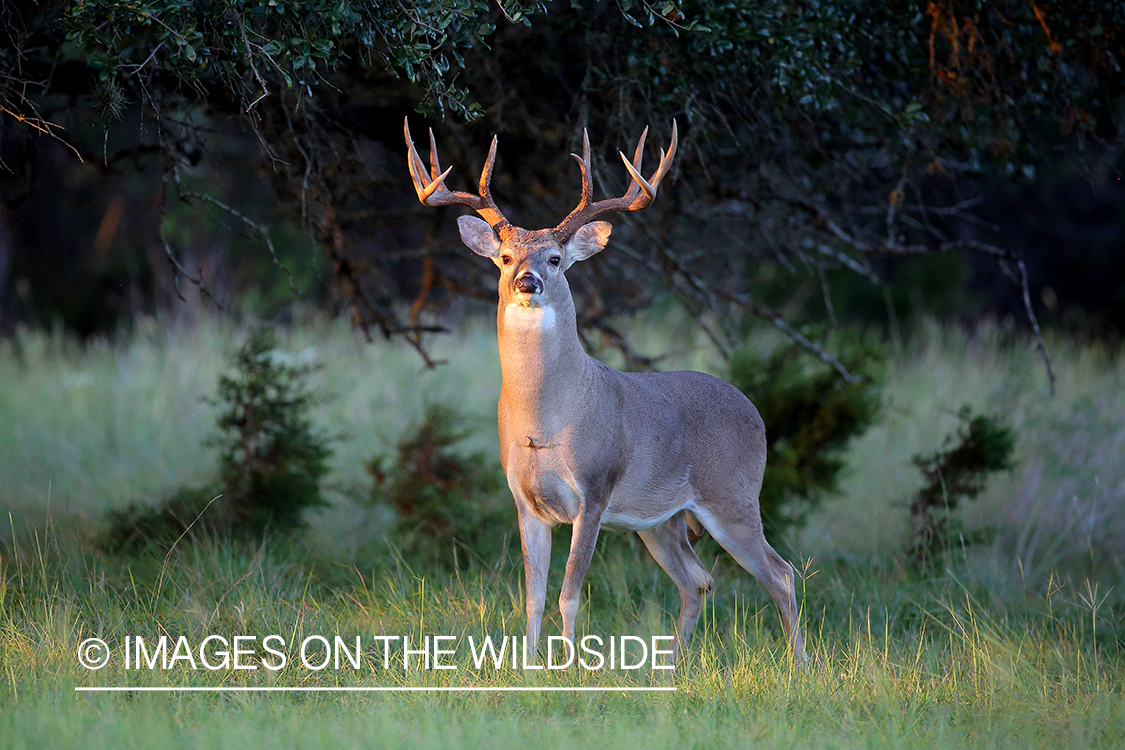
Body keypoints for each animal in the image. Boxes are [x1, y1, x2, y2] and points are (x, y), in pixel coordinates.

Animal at [409, 115, 805, 661]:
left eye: (556, 258)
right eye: (505, 256)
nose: (527, 281)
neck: (544, 419)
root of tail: (754, 412)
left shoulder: (593, 491)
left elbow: (569, 593)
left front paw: (570, 665)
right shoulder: (524, 500)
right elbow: (532, 595)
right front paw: (526, 667)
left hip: (734, 495)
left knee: (780, 573)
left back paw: (801, 666)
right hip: (661, 521)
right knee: (697, 581)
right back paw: (669, 667)